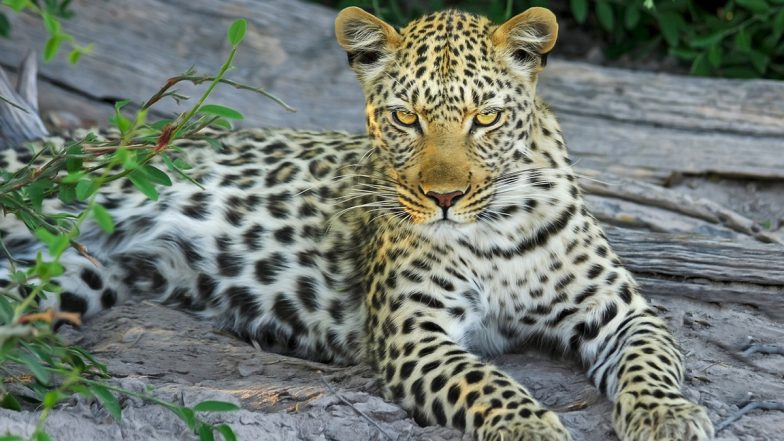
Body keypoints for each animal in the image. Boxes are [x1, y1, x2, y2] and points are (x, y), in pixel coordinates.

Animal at [0, 6, 715, 441]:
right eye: (405, 118)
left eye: (485, 118)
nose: (445, 197)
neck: (496, 229)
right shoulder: (415, 333)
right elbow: (488, 382)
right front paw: (531, 426)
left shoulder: (620, 311)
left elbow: (652, 361)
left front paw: (670, 417)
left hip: (69, 277)